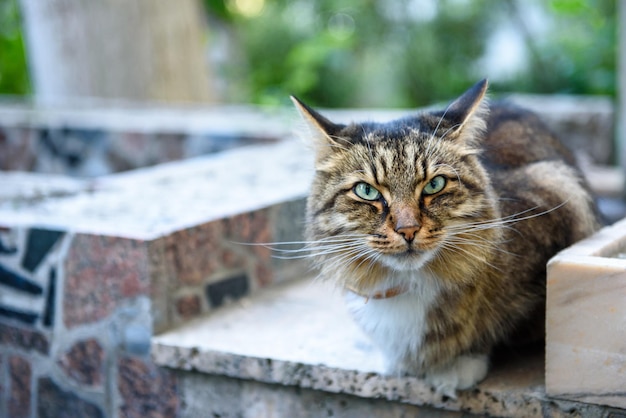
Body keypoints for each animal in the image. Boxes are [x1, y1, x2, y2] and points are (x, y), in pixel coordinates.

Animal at [292, 80, 600, 396]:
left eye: (434, 185)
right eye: (367, 191)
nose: (408, 230)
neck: (409, 283)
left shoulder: (555, 189)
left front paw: (458, 365)